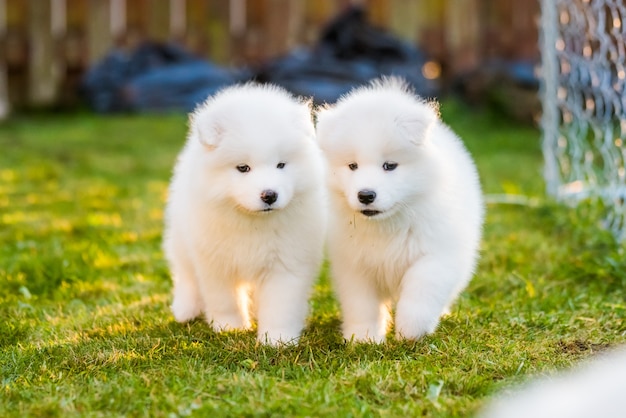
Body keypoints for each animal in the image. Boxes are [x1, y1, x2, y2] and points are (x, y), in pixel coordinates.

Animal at [161, 83, 326, 344]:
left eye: (281, 165)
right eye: (243, 168)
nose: (269, 195)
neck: (252, 221)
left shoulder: (286, 262)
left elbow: (280, 304)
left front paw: (277, 339)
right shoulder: (215, 261)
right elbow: (224, 300)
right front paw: (231, 328)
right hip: (181, 237)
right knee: (185, 273)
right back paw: (185, 310)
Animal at [316, 78, 482, 342]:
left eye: (389, 166)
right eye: (352, 166)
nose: (366, 195)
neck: (388, 225)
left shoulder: (436, 254)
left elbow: (421, 289)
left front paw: (410, 331)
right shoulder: (354, 265)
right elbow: (361, 304)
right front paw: (363, 338)